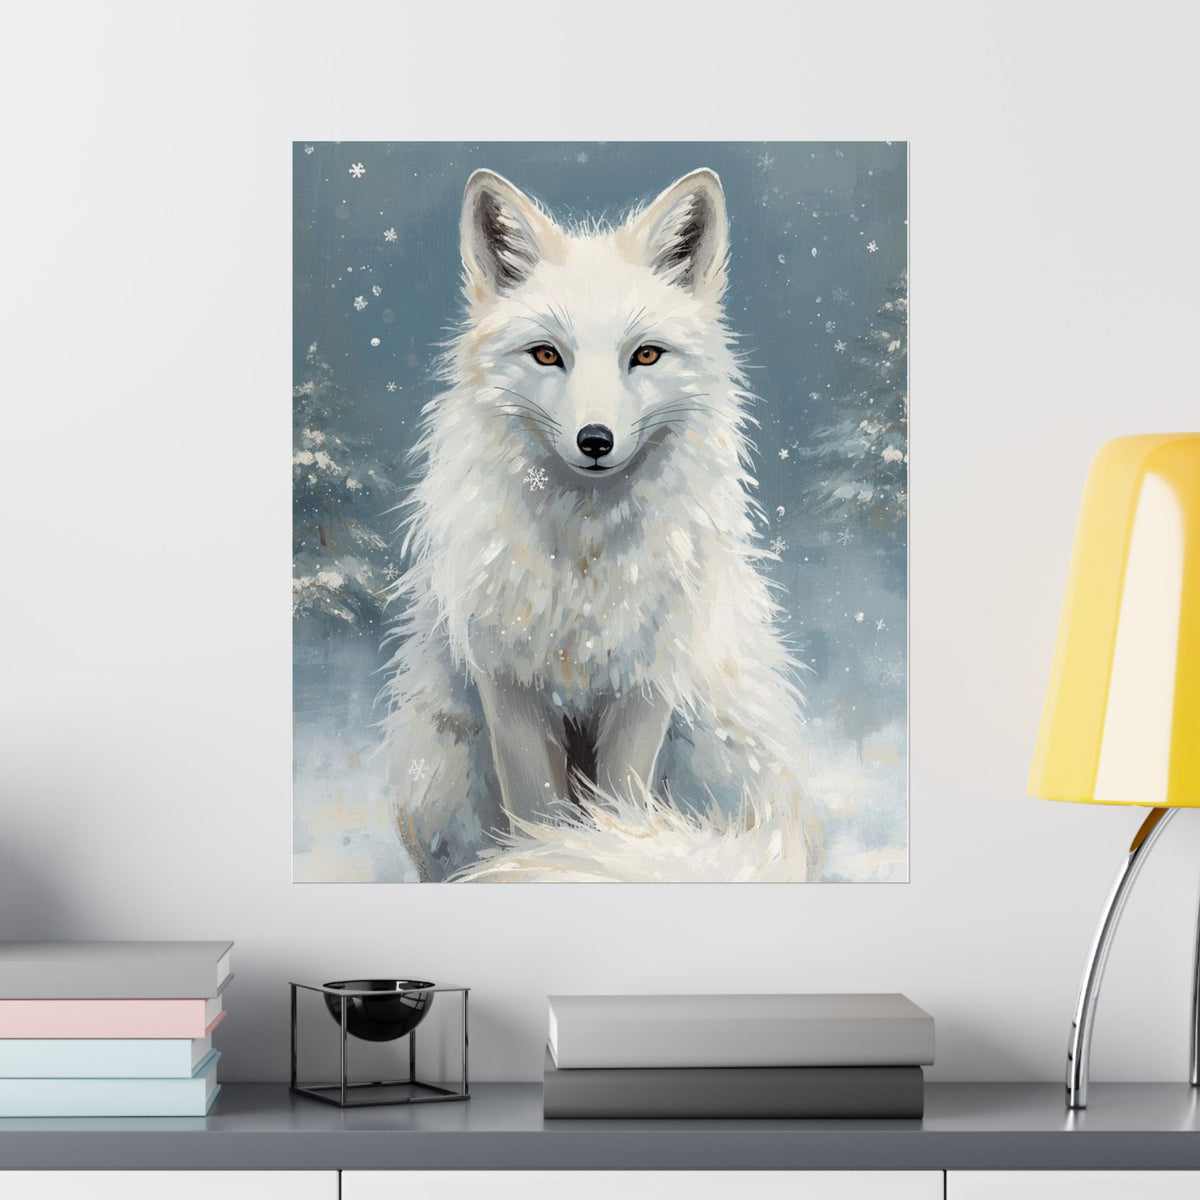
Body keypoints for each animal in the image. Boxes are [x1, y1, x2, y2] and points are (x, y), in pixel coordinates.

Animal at [381, 167, 818, 882]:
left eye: (645, 355)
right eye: (545, 355)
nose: (595, 440)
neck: (583, 569)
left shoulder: (645, 683)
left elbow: (621, 812)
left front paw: (594, 852)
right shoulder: (509, 684)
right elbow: (536, 811)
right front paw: (538, 857)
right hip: (437, 769)